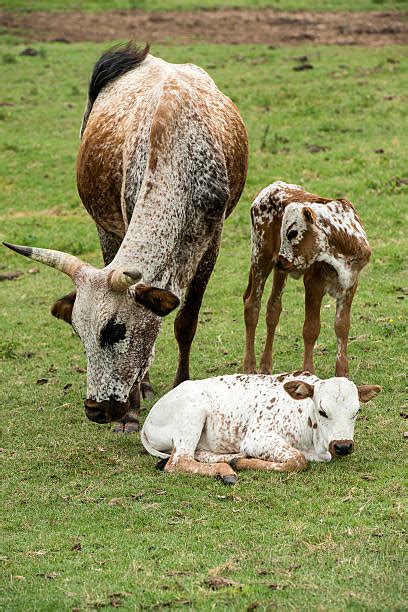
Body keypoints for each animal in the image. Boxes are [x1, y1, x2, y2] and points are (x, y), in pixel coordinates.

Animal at [3, 43, 249, 430]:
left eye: (115, 330)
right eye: (79, 333)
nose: (95, 409)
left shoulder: (211, 245)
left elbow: (185, 324)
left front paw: (180, 388)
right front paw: (132, 410)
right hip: (106, 229)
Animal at [142, 370, 380, 486]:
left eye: (356, 411)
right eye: (323, 411)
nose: (343, 446)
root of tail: (147, 422)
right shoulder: (257, 438)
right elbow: (297, 460)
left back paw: (231, 462)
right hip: (194, 413)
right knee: (179, 461)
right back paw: (228, 469)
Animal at [244, 180, 372, 378]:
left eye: (292, 233)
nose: (280, 259)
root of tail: (272, 186)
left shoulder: (350, 284)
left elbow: (342, 327)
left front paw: (342, 374)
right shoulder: (313, 284)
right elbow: (311, 329)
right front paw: (308, 372)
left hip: (280, 271)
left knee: (273, 308)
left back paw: (265, 367)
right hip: (261, 256)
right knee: (252, 305)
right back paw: (249, 367)